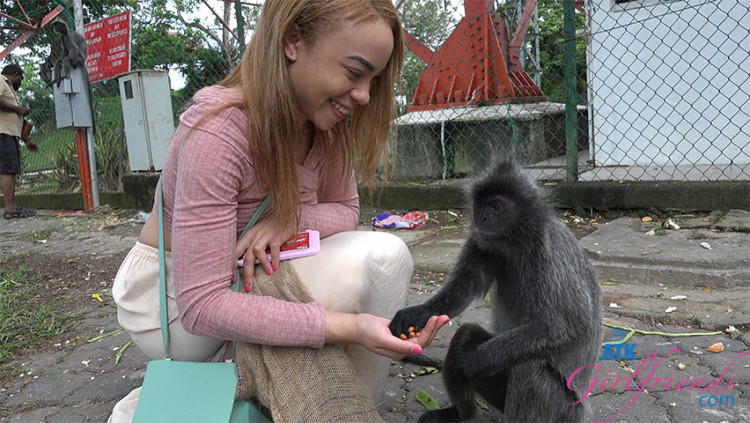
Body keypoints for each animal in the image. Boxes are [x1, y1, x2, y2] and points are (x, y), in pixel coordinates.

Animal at [389, 158, 602, 423]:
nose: (481, 219)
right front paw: (415, 314)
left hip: (564, 409)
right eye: (480, 205)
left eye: (497, 206)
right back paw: (461, 413)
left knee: (529, 368)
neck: (515, 243)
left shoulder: (549, 256)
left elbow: (565, 326)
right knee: (466, 334)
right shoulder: (482, 243)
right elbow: (463, 289)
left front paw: (477, 360)